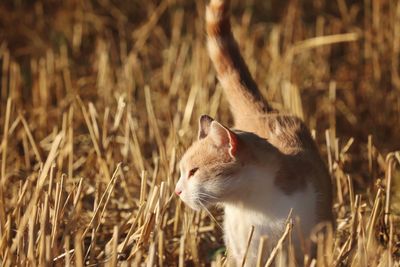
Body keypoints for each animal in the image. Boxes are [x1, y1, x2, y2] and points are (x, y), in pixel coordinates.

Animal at [177, 0, 332, 264]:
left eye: (194, 172)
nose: (177, 191)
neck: (252, 205)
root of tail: (264, 112)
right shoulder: (243, 252)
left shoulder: (294, 250)